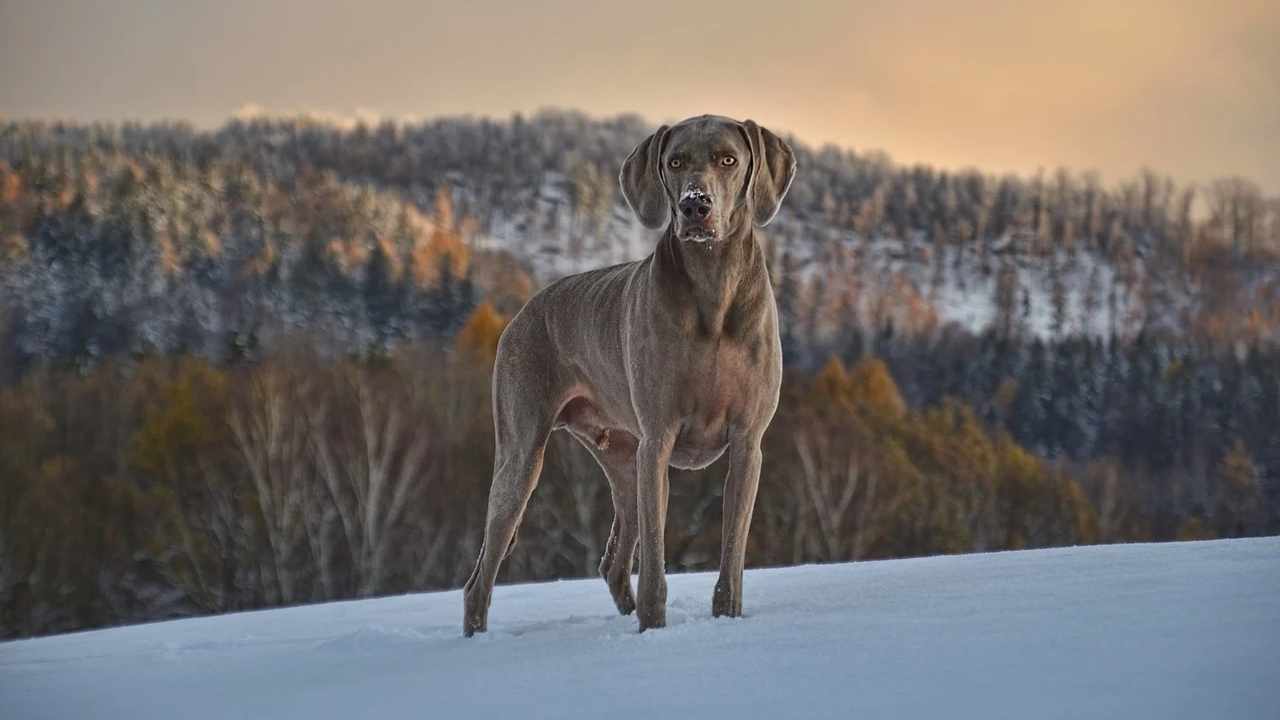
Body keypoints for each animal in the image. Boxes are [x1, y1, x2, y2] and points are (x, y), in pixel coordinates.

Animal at [465, 113, 793, 632]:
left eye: (728, 159)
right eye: (675, 161)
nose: (694, 205)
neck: (713, 286)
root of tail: (522, 312)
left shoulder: (747, 443)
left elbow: (732, 558)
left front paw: (726, 617)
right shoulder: (658, 440)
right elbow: (656, 565)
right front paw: (654, 628)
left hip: (623, 459)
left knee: (613, 563)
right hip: (525, 455)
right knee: (481, 577)